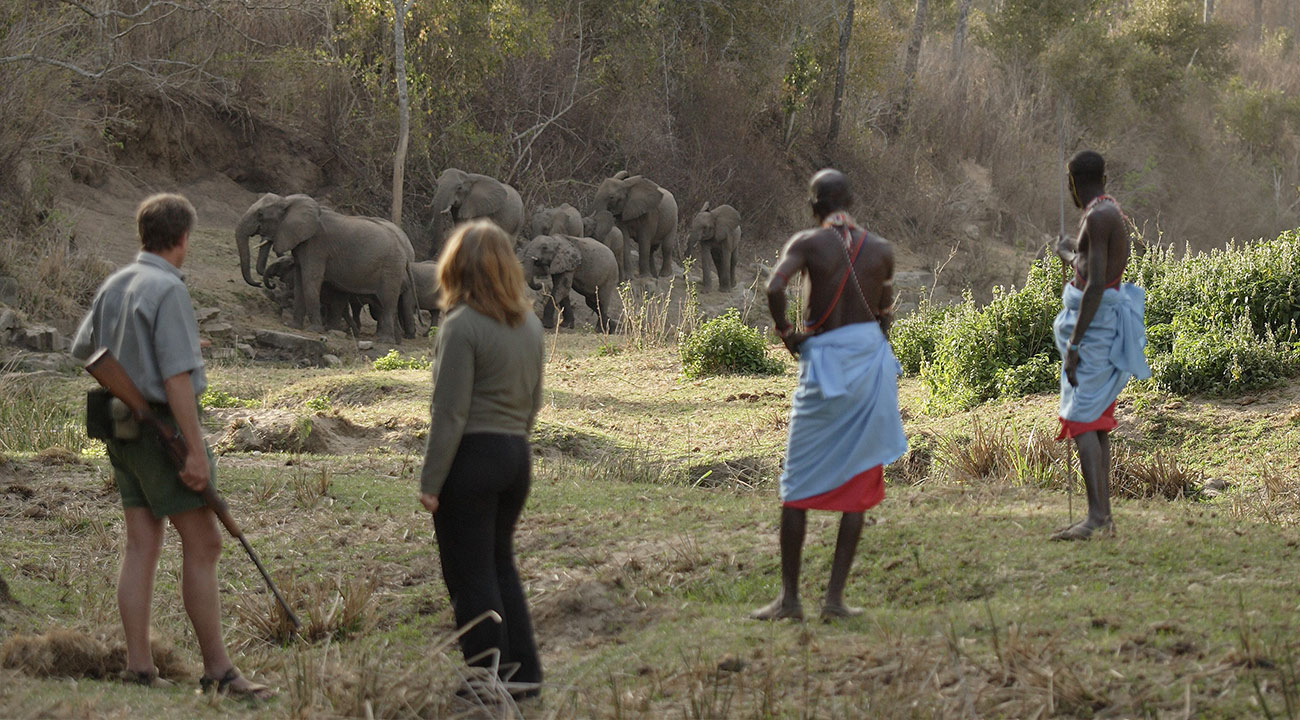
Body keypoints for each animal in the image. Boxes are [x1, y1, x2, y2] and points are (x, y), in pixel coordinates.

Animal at [233, 193, 413, 343]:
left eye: (260, 214)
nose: (263, 283)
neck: (289, 201)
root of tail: (404, 248)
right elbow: (299, 281)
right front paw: (293, 326)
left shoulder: (317, 246)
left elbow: (310, 280)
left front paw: (314, 330)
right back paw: (393, 341)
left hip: (391, 267)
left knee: (387, 301)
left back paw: (385, 341)